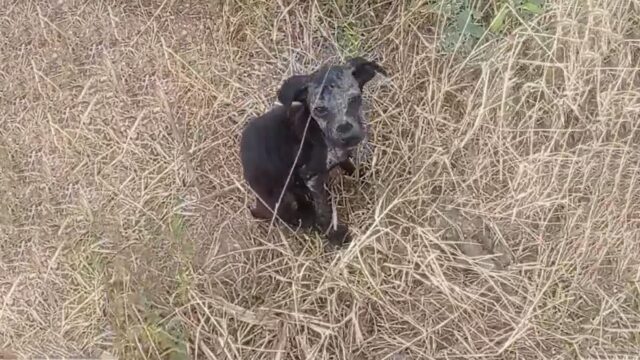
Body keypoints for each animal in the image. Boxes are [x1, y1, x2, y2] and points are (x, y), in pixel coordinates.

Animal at [239, 57, 384, 248]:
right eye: (319, 109)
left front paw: (365, 178)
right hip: (284, 199)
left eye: (354, 99)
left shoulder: (340, 156)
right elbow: (324, 211)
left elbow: (351, 166)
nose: (349, 136)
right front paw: (335, 235)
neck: (319, 133)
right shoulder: (311, 178)